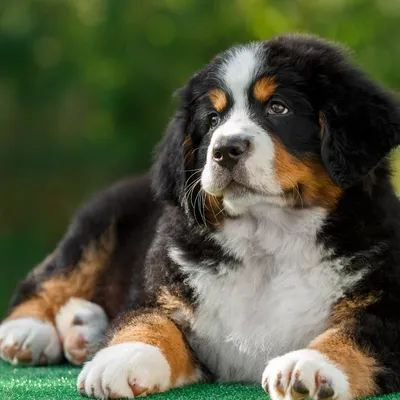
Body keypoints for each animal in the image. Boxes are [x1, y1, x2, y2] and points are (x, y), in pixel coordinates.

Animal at [0, 33, 400, 400]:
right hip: (98, 224)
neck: (269, 240)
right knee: (48, 278)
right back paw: (29, 332)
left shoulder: (387, 304)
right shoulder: (167, 288)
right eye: (212, 119)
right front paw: (122, 358)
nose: (225, 149)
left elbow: (356, 332)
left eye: (278, 107)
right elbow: (146, 320)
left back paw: (82, 328)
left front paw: (310, 366)